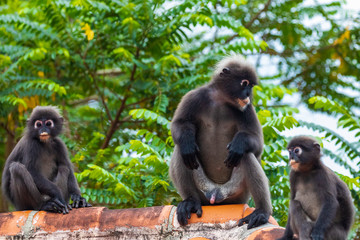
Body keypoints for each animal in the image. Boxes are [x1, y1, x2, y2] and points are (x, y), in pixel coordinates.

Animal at [170, 54, 272, 229]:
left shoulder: (248, 108)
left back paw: (261, 212)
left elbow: (257, 144)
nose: (248, 94)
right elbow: (178, 124)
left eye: (251, 86)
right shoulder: (194, 96)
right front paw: (187, 141)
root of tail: (215, 194)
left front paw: (238, 144)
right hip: (203, 192)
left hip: (237, 194)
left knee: (245, 155)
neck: (221, 100)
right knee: (183, 149)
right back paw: (190, 202)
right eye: (244, 83)